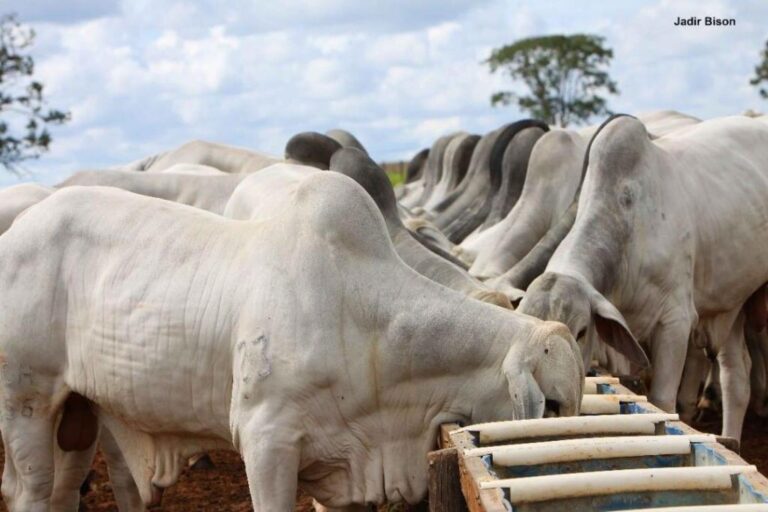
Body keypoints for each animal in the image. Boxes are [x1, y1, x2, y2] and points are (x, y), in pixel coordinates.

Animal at [0, 174, 580, 510]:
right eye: (550, 404)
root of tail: (19, 229)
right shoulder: (266, 440)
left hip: (81, 414)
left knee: (65, 489)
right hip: (25, 404)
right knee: (31, 490)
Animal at [512, 116, 768, 440]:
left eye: (581, 332)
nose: (551, 406)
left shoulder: (676, 321)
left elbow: (662, 401)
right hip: (731, 303)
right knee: (736, 379)